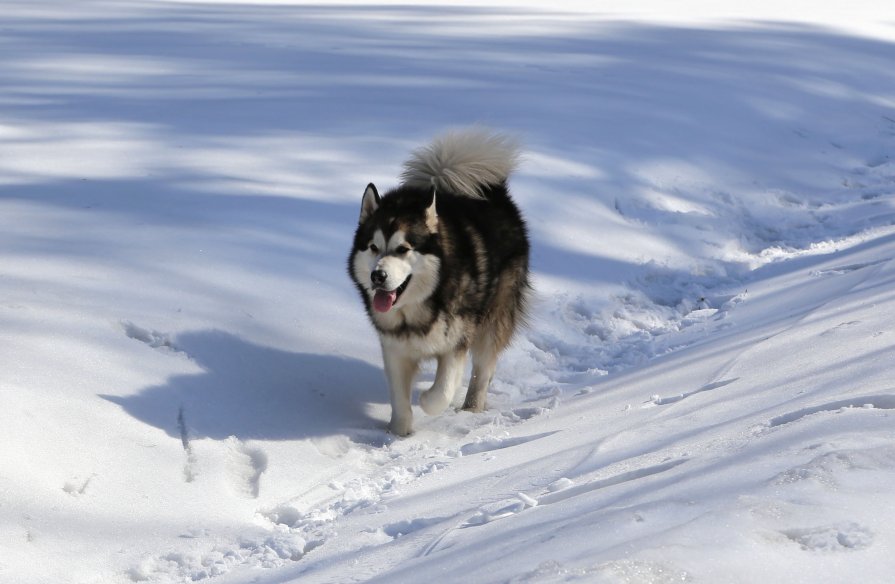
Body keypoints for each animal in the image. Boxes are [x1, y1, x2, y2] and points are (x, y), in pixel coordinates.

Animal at [348, 130, 532, 436]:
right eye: (373, 247)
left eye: (403, 249)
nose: (378, 276)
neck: (416, 310)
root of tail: (495, 193)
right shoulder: (394, 348)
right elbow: (399, 398)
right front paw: (398, 432)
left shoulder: (456, 343)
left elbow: (442, 391)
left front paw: (427, 400)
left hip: (494, 317)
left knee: (483, 367)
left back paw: (471, 408)